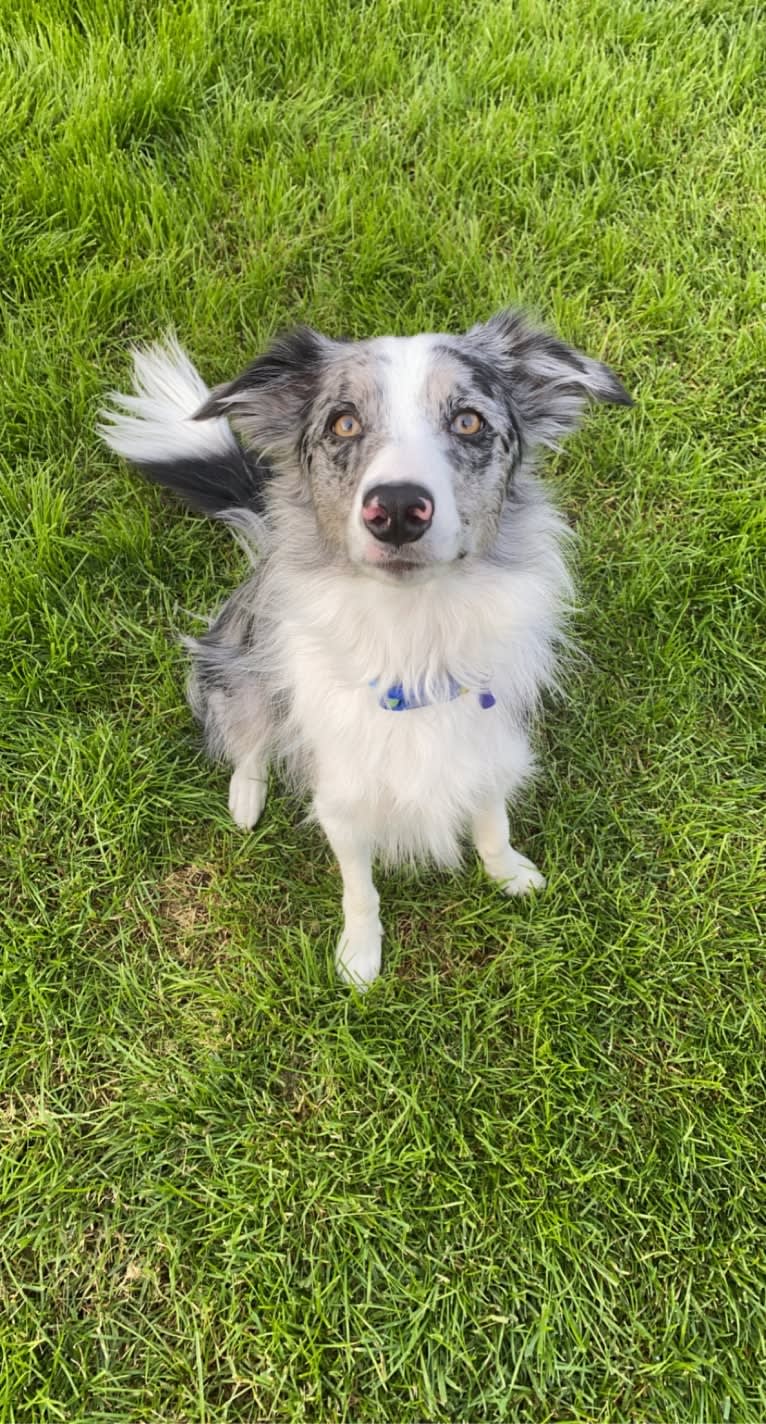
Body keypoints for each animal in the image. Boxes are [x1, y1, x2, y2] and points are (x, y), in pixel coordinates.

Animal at [98, 307, 629, 985]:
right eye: (343, 423)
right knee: (248, 734)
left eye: (468, 420)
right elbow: (360, 889)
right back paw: (246, 794)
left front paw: (509, 874)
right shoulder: (342, 798)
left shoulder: (486, 748)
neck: (414, 638)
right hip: (239, 664)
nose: (397, 508)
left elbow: (492, 824)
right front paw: (359, 957)